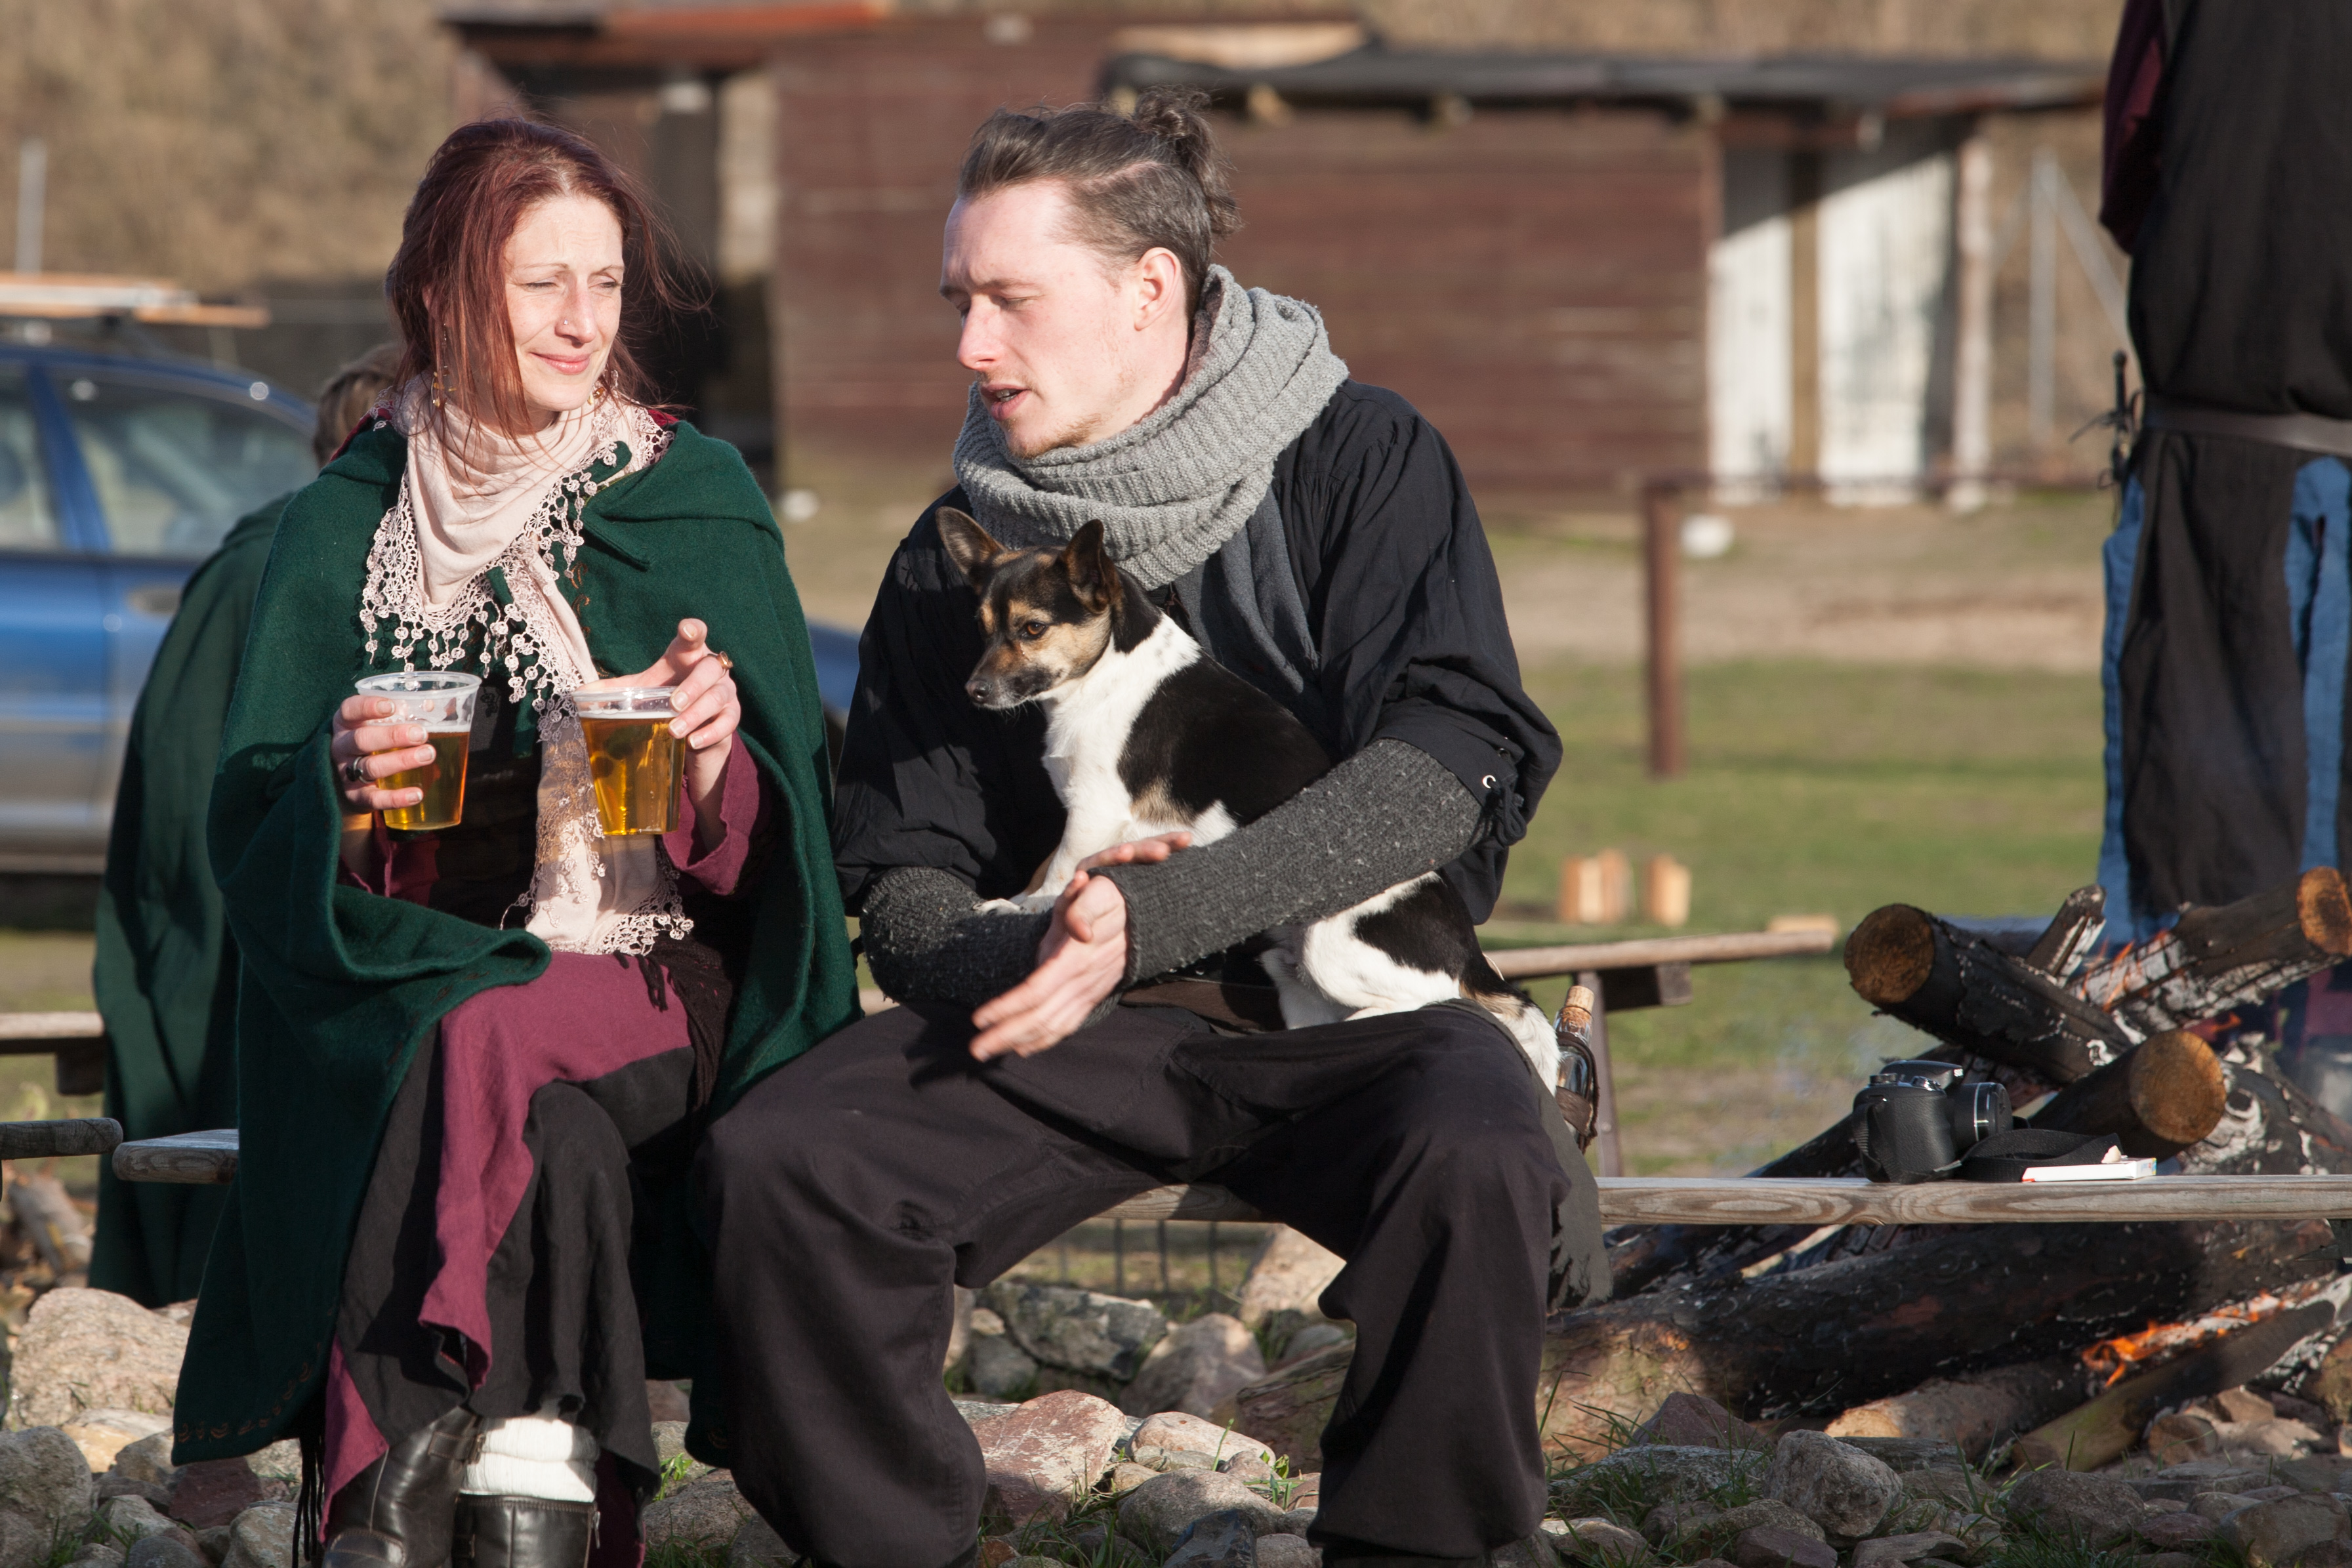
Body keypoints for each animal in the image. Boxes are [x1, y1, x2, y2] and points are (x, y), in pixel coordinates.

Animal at [936, 507, 1558, 1086]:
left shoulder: (1095, 809)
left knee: (1434, 1002)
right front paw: (1019, 898)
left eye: (1032, 629)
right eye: (983, 628)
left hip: (1334, 944)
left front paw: (1029, 907)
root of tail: (1473, 958)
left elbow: (1063, 871)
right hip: (1293, 974)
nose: (973, 691)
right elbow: (1049, 865)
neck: (1106, 671)